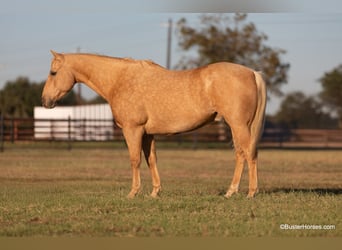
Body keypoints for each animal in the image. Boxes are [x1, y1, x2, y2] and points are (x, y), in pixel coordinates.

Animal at [42, 50, 268, 198]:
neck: (119, 80)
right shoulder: (147, 133)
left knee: (249, 154)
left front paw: (133, 193)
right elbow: (151, 160)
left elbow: (134, 160)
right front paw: (154, 192)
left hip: (238, 125)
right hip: (237, 126)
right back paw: (231, 191)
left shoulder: (132, 130)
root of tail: (252, 73)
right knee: (241, 154)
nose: (45, 101)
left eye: (53, 73)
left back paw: (250, 193)